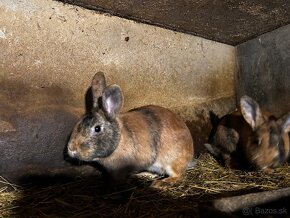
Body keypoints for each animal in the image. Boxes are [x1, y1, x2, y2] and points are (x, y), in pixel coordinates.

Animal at [67, 72, 195, 188]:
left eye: (97, 129)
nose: (71, 148)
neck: (119, 139)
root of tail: (190, 152)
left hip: (171, 162)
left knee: (178, 175)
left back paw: (159, 183)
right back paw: (142, 175)